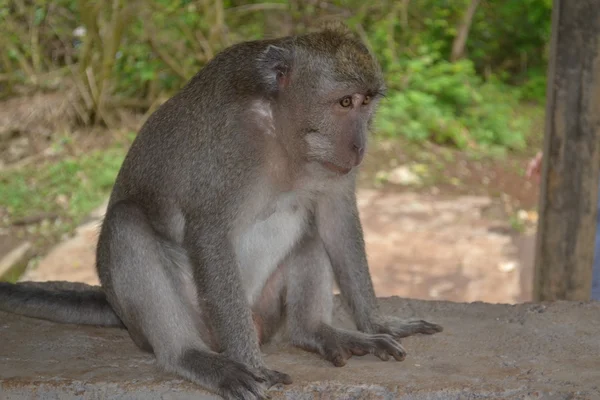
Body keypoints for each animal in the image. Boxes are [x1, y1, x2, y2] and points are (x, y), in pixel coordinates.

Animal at [0, 25, 440, 400]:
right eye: (345, 102)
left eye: (367, 102)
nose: (359, 146)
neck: (282, 135)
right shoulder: (230, 148)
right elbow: (209, 233)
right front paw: (251, 366)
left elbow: (336, 217)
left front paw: (378, 323)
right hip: (196, 316)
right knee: (127, 225)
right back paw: (192, 357)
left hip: (266, 305)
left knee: (311, 229)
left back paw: (317, 332)